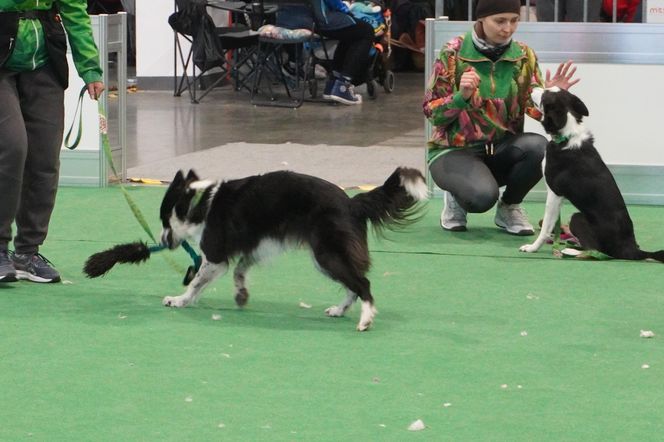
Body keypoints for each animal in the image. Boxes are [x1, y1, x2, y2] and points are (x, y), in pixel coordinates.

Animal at [158, 167, 428, 330]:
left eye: (164, 220)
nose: (162, 241)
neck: (198, 202)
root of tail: (351, 203)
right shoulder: (256, 246)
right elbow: (238, 271)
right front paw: (241, 295)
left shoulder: (215, 256)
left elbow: (196, 282)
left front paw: (179, 300)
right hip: (327, 256)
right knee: (355, 284)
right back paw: (339, 310)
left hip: (326, 253)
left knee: (363, 283)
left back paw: (365, 319)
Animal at [520, 88, 660, 264]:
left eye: (545, 95)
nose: (532, 89)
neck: (566, 135)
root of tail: (632, 249)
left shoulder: (554, 193)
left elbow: (546, 227)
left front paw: (532, 248)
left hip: (577, 217)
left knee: (597, 252)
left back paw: (571, 250)